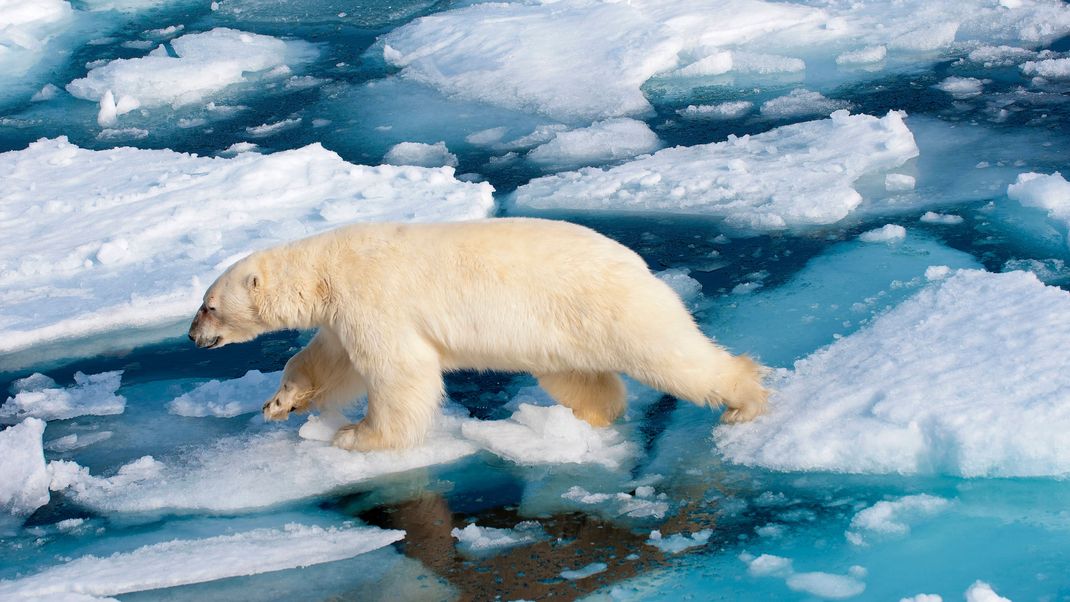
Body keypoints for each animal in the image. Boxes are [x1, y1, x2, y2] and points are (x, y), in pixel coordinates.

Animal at [188, 219, 766, 449]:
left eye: (208, 305)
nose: (192, 336)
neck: (326, 271)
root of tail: (639, 263)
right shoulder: (342, 316)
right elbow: (330, 362)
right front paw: (279, 403)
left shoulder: (374, 296)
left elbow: (399, 371)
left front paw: (357, 436)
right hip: (558, 332)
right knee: (580, 378)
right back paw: (587, 418)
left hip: (614, 309)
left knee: (672, 357)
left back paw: (745, 401)